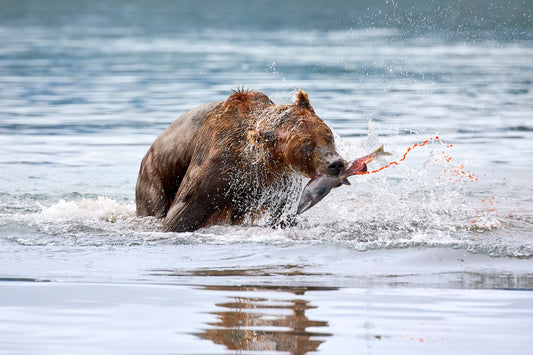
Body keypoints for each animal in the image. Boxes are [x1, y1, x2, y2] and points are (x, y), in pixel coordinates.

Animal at [135, 89, 348, 234]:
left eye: (328, 135)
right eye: (307, 145)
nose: (336, 163)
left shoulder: (279, 183)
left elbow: (282, 215)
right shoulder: (214, 169)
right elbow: (180, 215)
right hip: (154, 178)